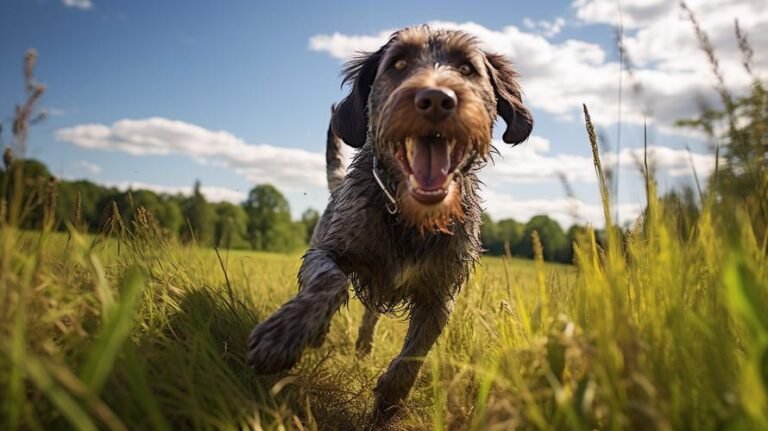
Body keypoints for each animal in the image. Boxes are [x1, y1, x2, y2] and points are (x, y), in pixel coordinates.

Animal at [249, 24, 532, 426]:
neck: (410, 218)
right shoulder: (328, 251)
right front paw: (286, 333)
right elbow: (330, 281)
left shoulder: (439, 295)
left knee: (371, 316)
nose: (435, 99)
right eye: (398, 64)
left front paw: (388, 405)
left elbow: (414, 356)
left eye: (466, 68)